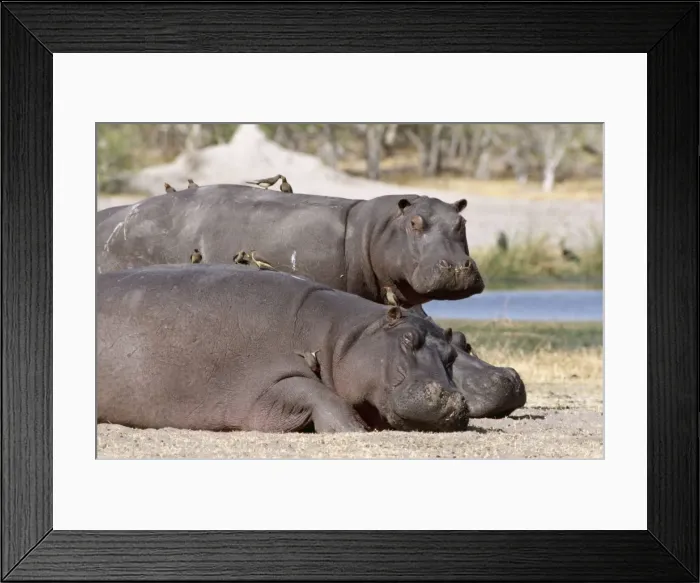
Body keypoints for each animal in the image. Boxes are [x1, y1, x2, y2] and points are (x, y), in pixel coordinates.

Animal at [97, 264, 473, 433]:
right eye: (408, 339)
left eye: (453, 353)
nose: (451, 398)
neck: (342, 337)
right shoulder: (266, 381)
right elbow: (322, 395)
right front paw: (356, 430)